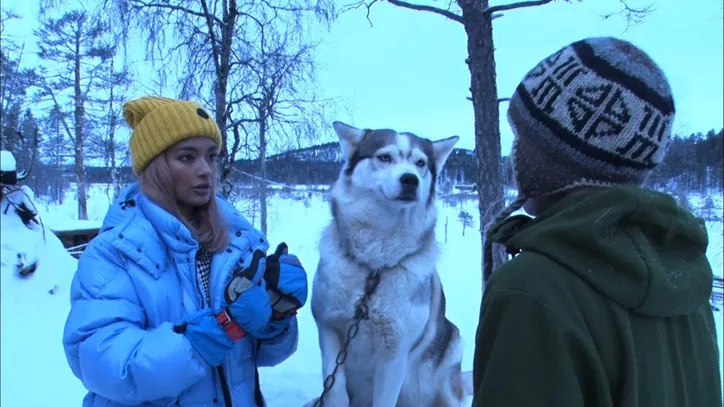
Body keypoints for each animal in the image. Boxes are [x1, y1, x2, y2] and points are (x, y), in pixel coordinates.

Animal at [306, 122, 472, 407]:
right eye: (384, 157)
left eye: (420, 163)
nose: (410, 180)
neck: (374, 267)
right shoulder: (329, 332)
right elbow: (335, 388)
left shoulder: (394, 353)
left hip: (450, 359)